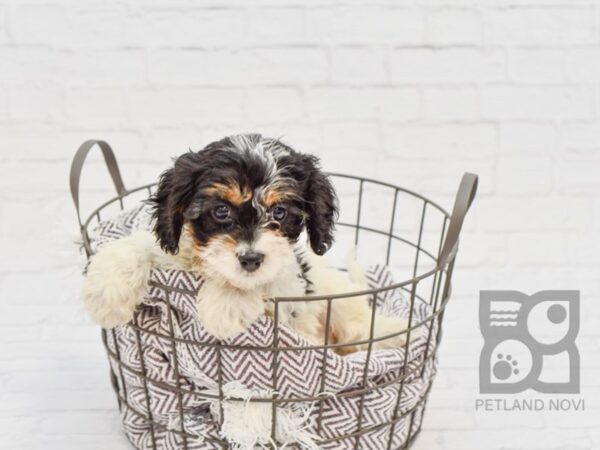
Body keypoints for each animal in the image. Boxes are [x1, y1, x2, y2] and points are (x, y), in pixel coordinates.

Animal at [83, 135, 408, 354]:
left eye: (279, 212)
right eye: (221, 211)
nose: (251, 259)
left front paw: (225, 309)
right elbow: (137, 245)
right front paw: (106, 295)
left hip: (338, 302)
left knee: (359, 328)